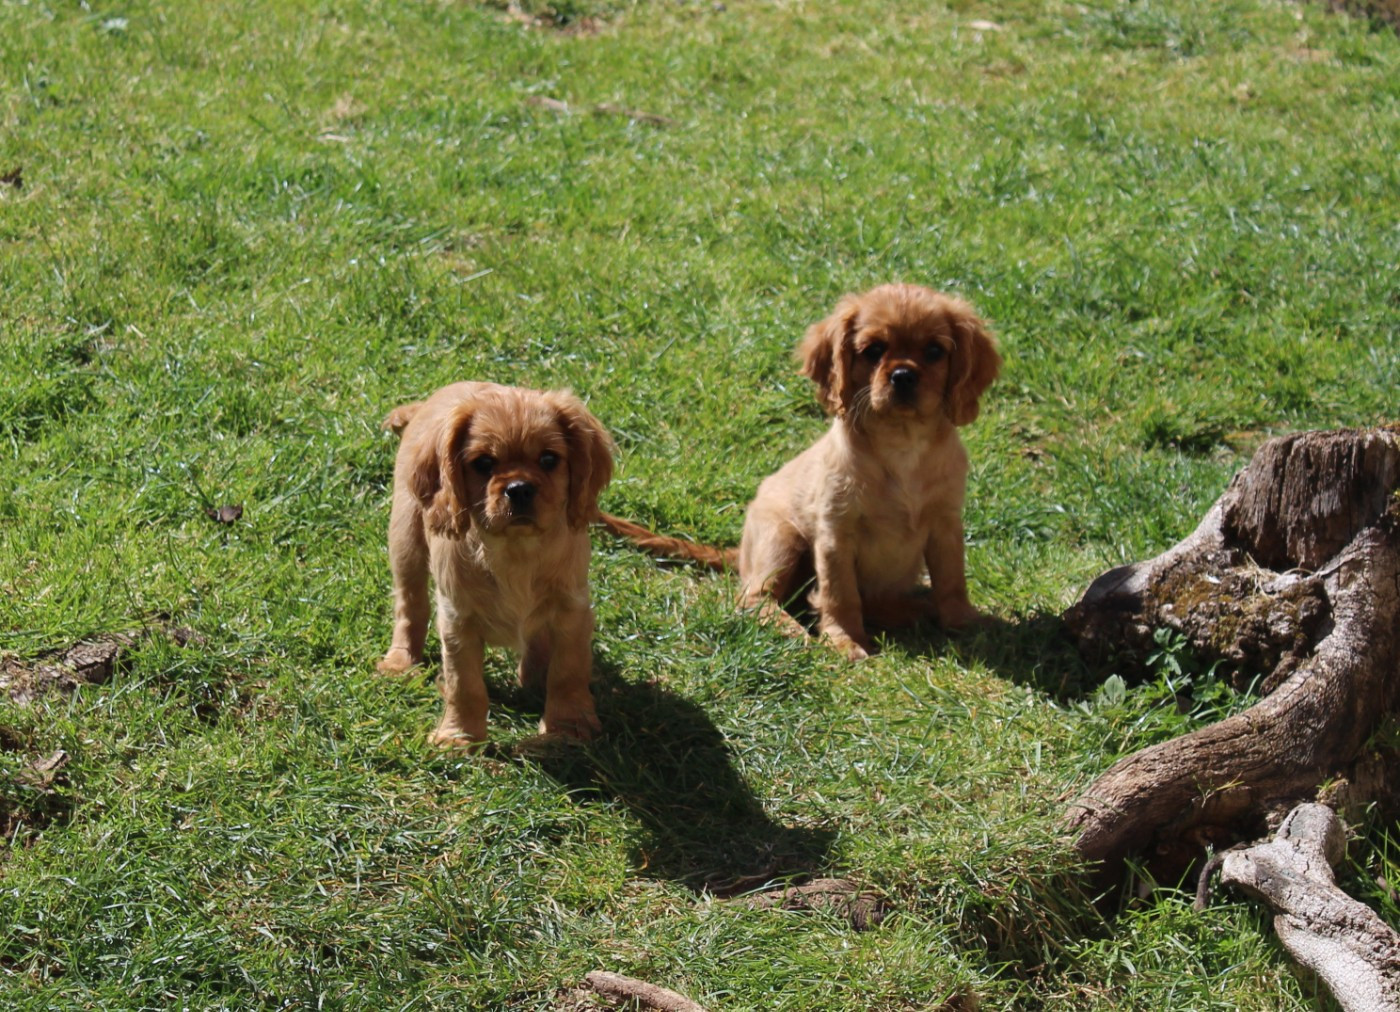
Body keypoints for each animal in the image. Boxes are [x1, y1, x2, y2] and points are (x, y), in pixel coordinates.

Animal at [378, 382, 614, 745]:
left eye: (549, 459)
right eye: (484, 463)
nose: (519, 489)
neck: (516, 550)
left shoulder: (572, 610)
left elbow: (568, 671)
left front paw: (568, 725)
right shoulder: (458, 620)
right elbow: (465, 685)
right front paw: (460, 736)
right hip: (406, 540)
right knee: (411, 604)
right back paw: (401, 660)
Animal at [600, 284, 1001, 660]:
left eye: (934, 351)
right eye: (873, 350)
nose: (902, 376)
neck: (901, 444)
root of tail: (741, 552)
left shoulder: (946, 525)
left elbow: (952, 580)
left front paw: (966, 623)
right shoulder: (835, 535)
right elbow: (841, 594)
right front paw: (844, 640)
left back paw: (914, 609)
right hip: (781, 540)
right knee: (754, 597)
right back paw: (793, 631)